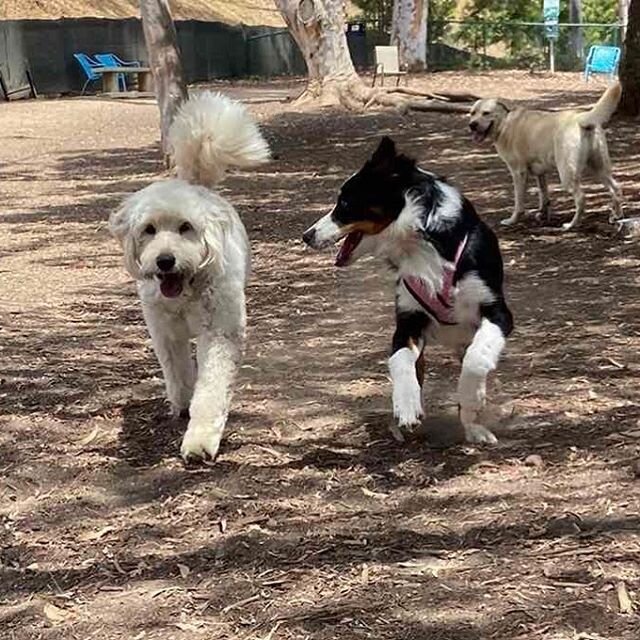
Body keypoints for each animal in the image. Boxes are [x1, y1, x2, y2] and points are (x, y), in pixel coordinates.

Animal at [110, 92, 270, 458]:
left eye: (186, 227)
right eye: (149, 230)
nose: (165, 261)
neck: (187, 290)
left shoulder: (221, 334)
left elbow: (210, 391)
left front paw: (200, 440)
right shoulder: (166, 333)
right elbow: (178, 373)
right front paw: (182, 403)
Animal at [302, 137, 516, 442]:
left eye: (344, 203)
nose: (306, 236)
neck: (420, 243)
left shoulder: (497, 313)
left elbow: (476, 360)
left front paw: (472, 398)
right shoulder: (409, 320)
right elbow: (401, 362)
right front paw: (406, 407)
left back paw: (475, 427)